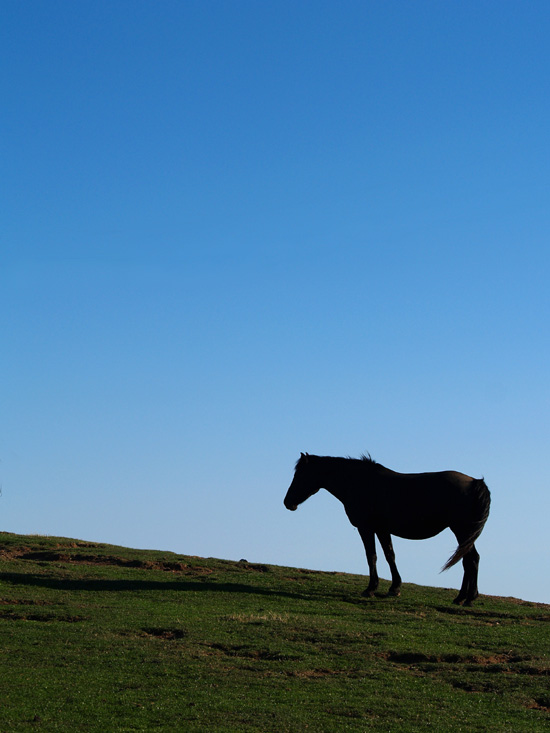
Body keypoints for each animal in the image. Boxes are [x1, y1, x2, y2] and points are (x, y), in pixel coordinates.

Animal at [284, 453, 491, 605]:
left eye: (299, 475)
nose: (287, 502)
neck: (358, 482)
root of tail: (475, 482)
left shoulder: (366, 528)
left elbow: (372, 556)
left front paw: (370, 589)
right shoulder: (382, 529)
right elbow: (390, 555)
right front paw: (394, 588)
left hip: (461, 531)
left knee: (470, 561)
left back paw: (466, 598)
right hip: (464, 533)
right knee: (470, 560)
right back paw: (464, 597)